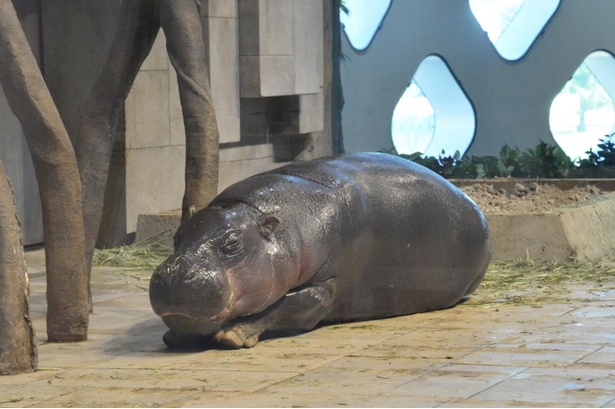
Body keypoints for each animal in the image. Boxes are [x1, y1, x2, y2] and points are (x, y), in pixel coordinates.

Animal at [149, 151, 490, 350]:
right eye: (178, 236)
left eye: (232, 242)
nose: (175, 273)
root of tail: (479, 212)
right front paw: (174, 337)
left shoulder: (326, 284)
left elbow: (286, 307)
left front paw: (233, 336)